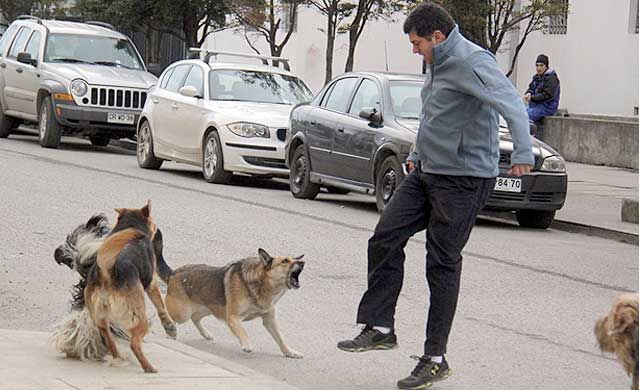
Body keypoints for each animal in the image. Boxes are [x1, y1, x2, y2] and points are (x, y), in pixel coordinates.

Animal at [165, 248, 304, 358]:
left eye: (294, 259)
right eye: (285, 261)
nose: (302, 262)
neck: (261, 283)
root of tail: (173, 273)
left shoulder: (269, 320)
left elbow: (280, 338)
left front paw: (289, 352)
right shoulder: (233, 318)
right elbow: (243, 331)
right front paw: (246, 344)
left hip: (209, 308)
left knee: (195, 318)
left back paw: (205, 334)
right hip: (183, 314)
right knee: (168, 313)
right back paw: (169, 329)